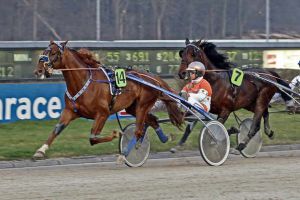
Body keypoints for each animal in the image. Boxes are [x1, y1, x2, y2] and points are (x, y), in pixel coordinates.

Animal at [32, 40, 183, 159]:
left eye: (53, 53)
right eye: (44, 51)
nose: (38, 70)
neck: (84, 82)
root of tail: (153, 78)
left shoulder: (102, 113)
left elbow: (93, 138)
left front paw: (117, 133)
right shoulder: (70, 111)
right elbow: (56, 129)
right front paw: (40, 150)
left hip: (143, 105)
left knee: (139, 130)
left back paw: (126, 153)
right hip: (132, 107)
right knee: (152, 120)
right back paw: (164, 138)